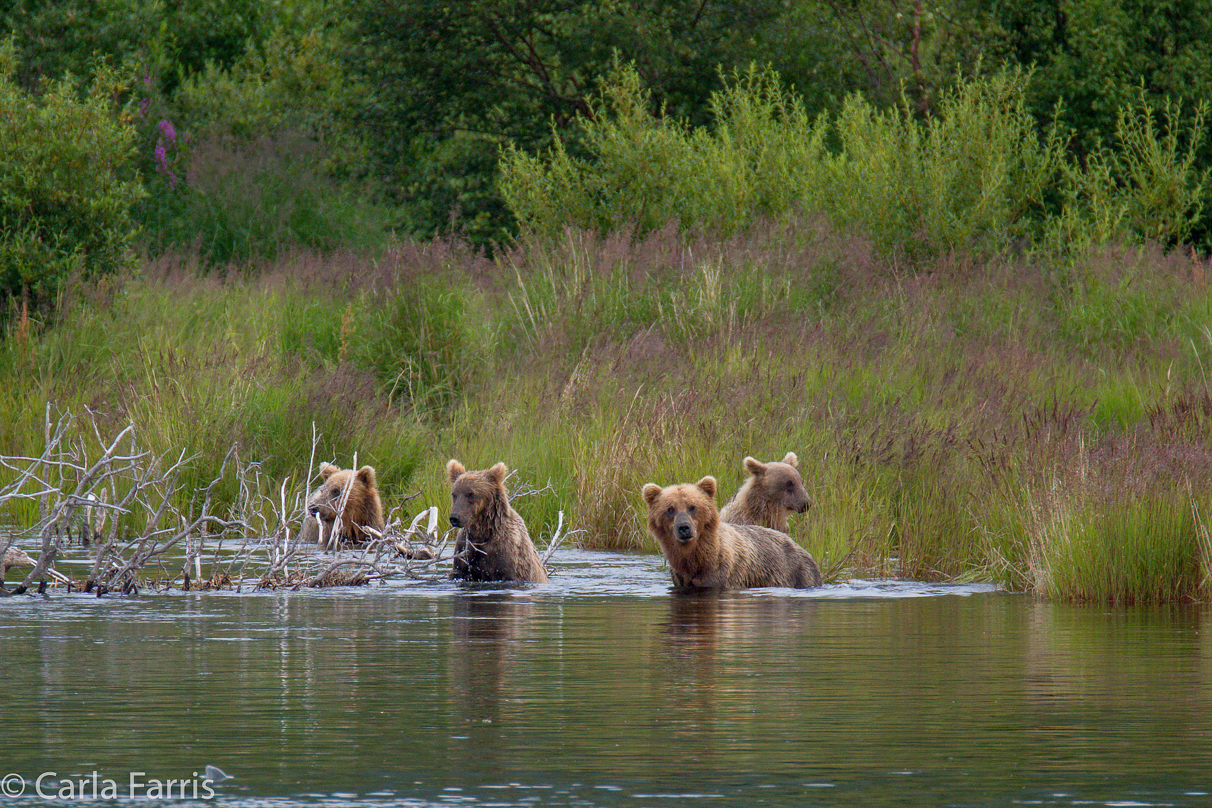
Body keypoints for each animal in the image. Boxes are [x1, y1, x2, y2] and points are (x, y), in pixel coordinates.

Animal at [639, 477, 819, 591]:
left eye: (692, 506)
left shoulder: (724, 574)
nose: (684, 527)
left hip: (799, 574)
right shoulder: (681, 577)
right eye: (670, 509)